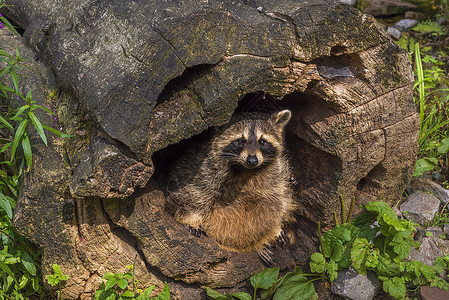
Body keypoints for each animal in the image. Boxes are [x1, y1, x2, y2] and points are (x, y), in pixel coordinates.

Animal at [164, 110, 294, 264]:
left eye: (262, 141)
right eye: (240, 141)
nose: (252, 160)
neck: (247, 170)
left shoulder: (277, 176)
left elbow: (277, 205)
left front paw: (273, 229)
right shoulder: (206, 171)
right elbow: (197, 195)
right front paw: (190, 219)